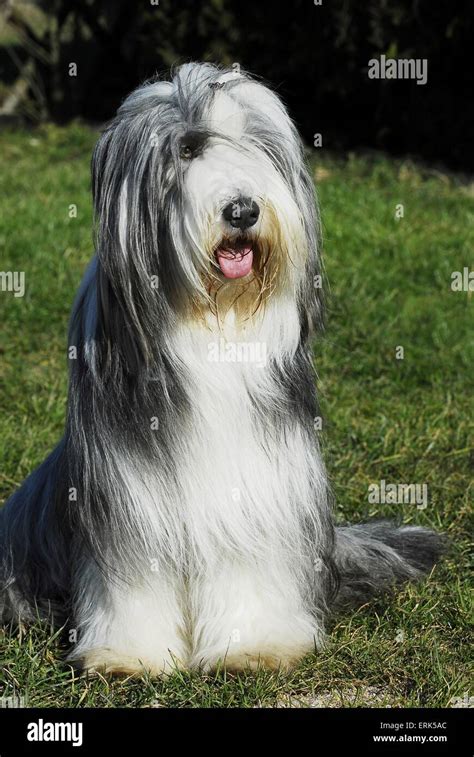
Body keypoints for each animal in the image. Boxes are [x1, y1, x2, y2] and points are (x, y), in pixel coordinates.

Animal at [0, 60, 444, 672]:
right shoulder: (129, 488)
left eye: (253, 146)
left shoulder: (259, 479)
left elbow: (248, 563)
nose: (243, 210)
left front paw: (251, 646)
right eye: (186, 151)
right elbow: (134, 573)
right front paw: (129, 654)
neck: (213, 323)